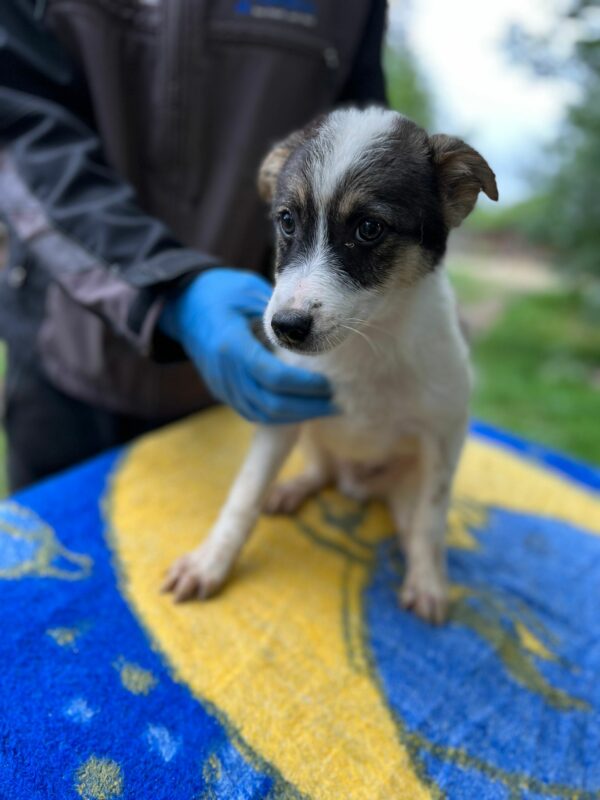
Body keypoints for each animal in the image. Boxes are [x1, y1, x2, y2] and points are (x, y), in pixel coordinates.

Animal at [163, 106, 496, 624]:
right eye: (286, 220)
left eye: (369, 228)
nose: (285, 327)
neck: (368, 342)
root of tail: (357, 486)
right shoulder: (279, 418)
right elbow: (243, 496)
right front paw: (211, 562)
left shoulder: (445, 433)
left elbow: (432, 521)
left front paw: (429, 581)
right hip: (312, 436)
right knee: (320, 471)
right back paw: (291, 488)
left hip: (405, 482)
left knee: (413, 520)